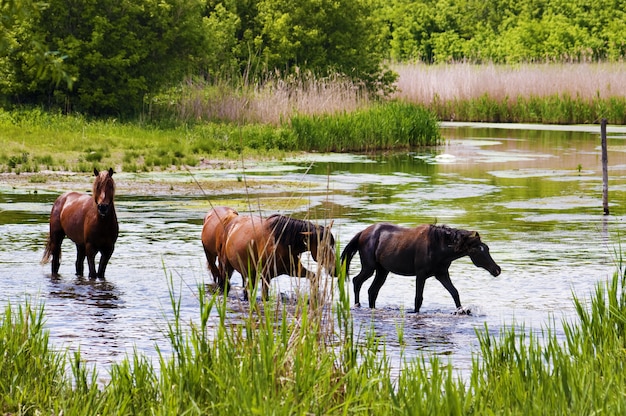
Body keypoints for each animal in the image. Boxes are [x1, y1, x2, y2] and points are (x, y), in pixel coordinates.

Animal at [338, 224, 500, 312]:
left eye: (487, 248)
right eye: (477, 251)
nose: (497, 270)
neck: (439, 246)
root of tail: (362, 233)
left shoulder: (442, 274)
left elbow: (455, 293)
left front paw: (462, 311)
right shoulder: (421, 275)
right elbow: (418, 299)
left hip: (382, 271)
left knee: (372, 291)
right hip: (369, 267)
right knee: (357, 281)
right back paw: (357, 305)